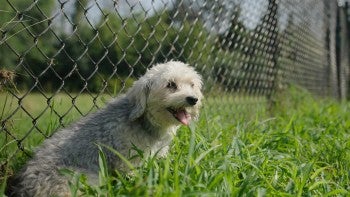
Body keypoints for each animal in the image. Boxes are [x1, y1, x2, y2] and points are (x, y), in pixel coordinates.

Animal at [6, 60, 202, 196]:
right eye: (170, 85)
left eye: (192, 85)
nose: (193, 99)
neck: (144, 122)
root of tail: (24, 185)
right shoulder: (128, 161)